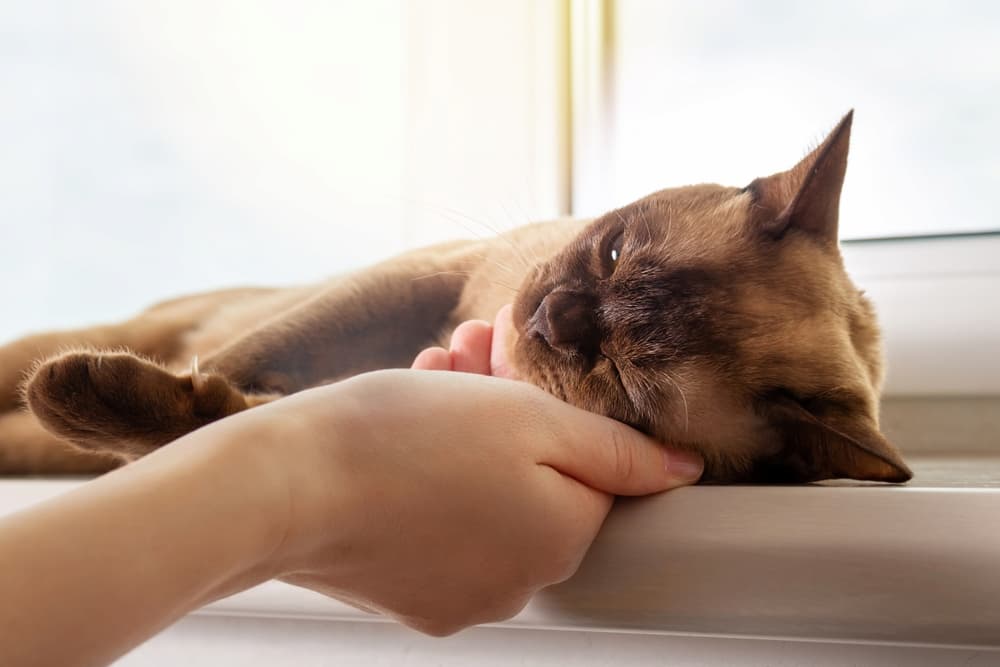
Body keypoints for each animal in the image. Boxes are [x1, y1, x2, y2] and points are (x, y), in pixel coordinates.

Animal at [0, 111, 912, 486]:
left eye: (624, 379)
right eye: (613, 250)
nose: (551, 316)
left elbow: (226, 416)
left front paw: (123, 407)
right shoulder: (424, 277)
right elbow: (241, 360)